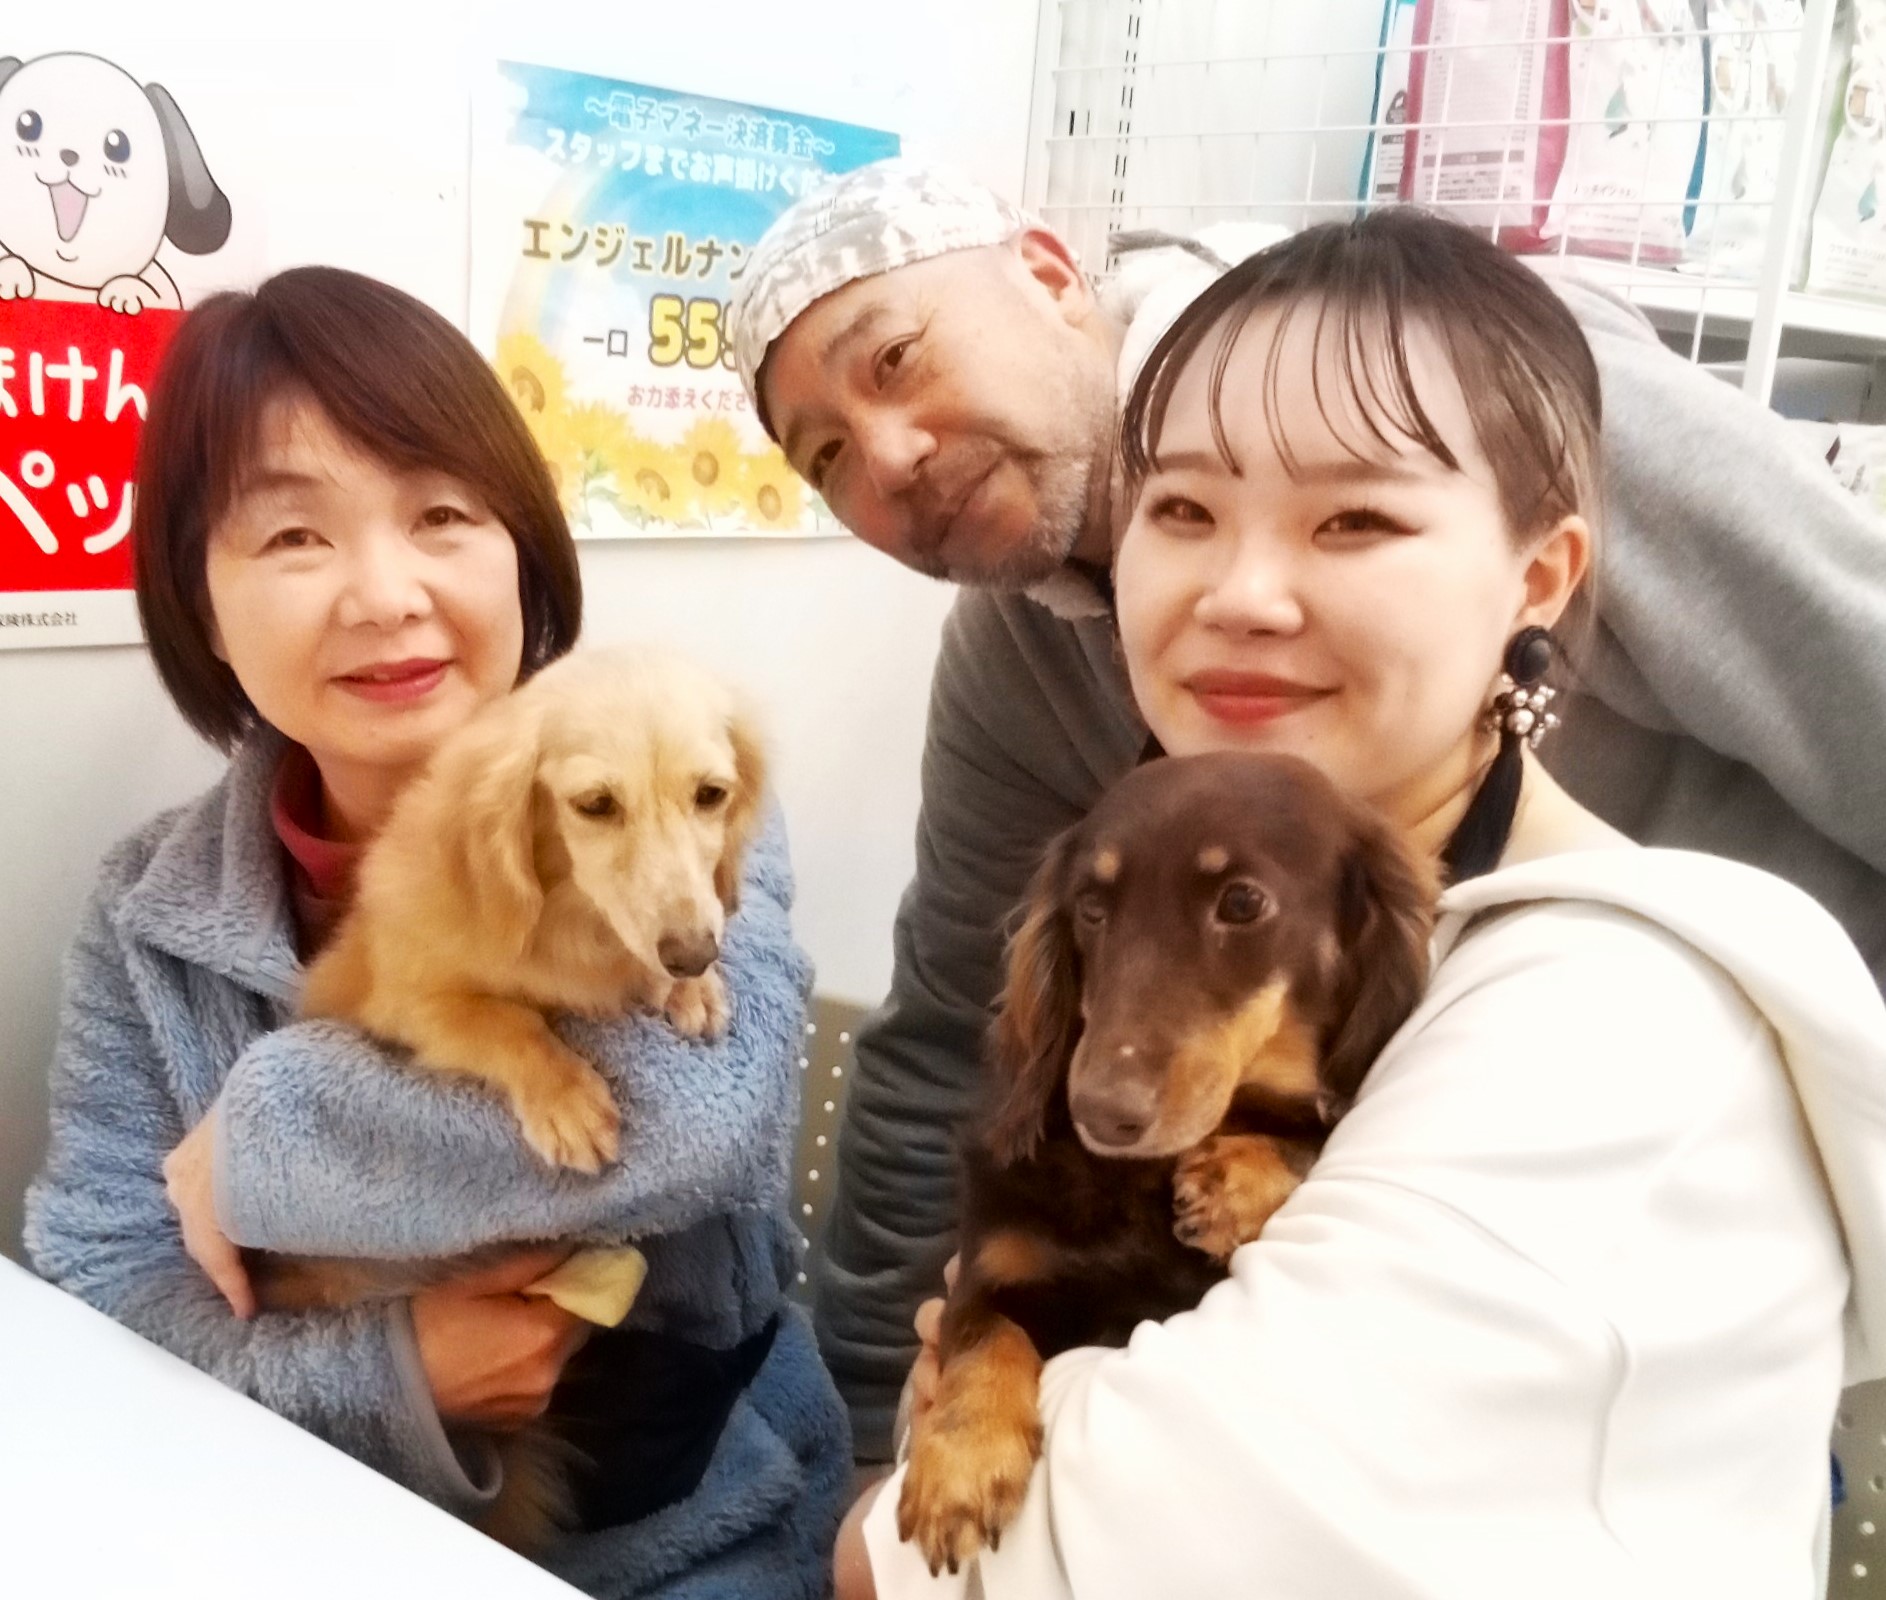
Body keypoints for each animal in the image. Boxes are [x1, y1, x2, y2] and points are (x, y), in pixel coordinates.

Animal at [246, 644, 768, 1551]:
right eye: (594, 805)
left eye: (712, 794)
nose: (693, 954)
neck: (571, 918)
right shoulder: (408, 1002)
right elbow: (506, 1021)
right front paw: (567, 1100)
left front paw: (690, 993)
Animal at [897, 752, 1437, 1575]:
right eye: (1091, 908)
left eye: (1242, 902)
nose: (1101, 1112)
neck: (1136, 1184)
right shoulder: (990, 1266)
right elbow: (986, 1333)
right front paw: (962, 1464)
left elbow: (1302, 1135)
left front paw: (1237, 1180)